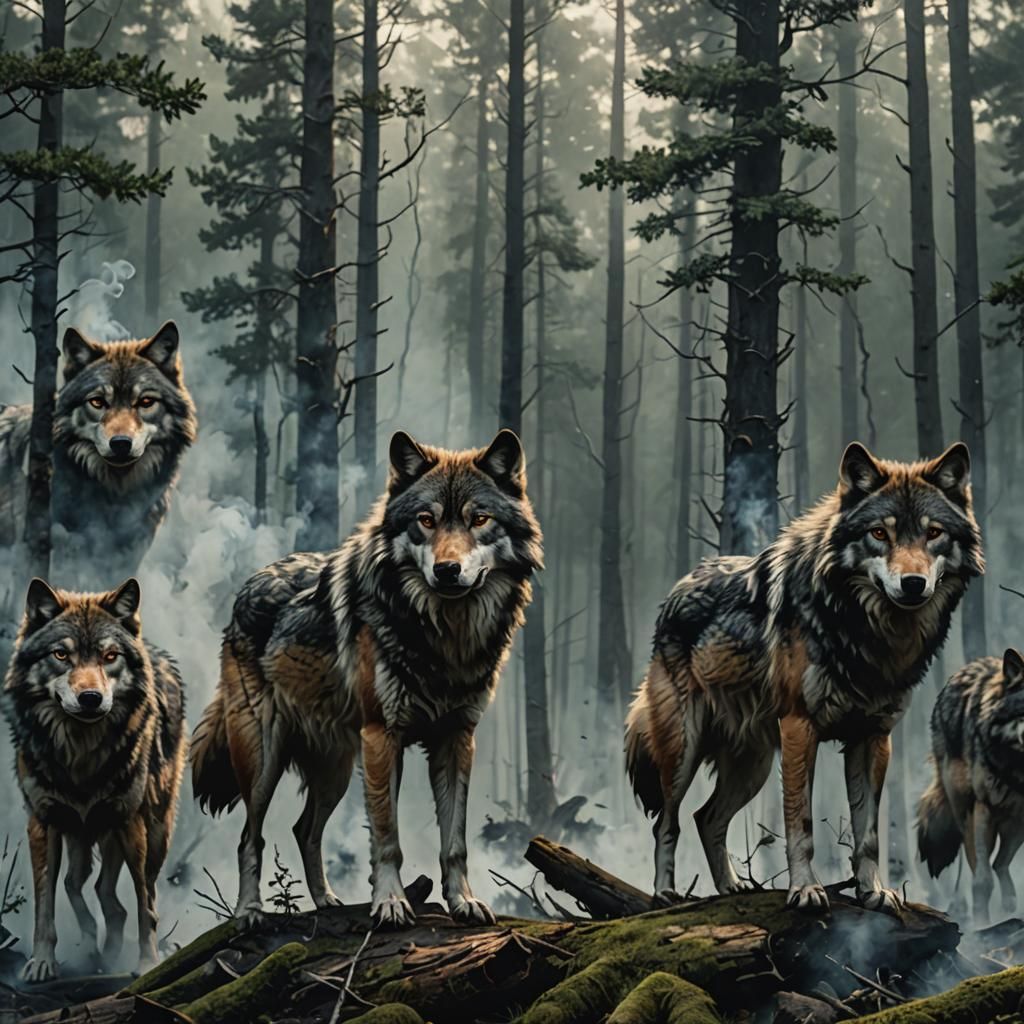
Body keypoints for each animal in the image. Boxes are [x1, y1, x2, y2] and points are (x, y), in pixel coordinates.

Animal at [2, 578, 186, 979]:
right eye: (60, 655)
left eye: (110, 656)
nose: (90, 698)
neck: (81, 755)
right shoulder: (43, 822)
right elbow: (44, 904)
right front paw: (42, 962)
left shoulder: (130, 821)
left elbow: (144, 905)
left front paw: (147, 963)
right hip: (81, 833)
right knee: (85, 886)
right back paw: (93, 947)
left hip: (153, 830)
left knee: (137, 893)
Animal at [191, 429, 542, 928]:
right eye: (426, 520)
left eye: (479, 519)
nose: (447, 570)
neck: (444, 637)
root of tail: (249, 585)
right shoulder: (382, 736)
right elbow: (387, 836)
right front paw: (391, 903)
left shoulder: (457, 738)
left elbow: (454, 840)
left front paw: (463, 901)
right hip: (264, 761)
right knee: (250, 837)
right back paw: (249, 912)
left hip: (336, 768)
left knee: (303, 829)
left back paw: (327, 903)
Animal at [626, 442, 982, 913]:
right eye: (879, 534)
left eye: (933, 533)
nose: (912, 583)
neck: (866, 632)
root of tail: (680, 586)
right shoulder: (800, 727)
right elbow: (801, 824)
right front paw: (806, 890)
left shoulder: (873, 737)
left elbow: (868, 833)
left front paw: (873, 891)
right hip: (683, 750)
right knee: (667, 821)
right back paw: (665, 893)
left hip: (753, 766)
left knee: (707, 818)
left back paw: (732, 887)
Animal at [917, 649, 1024, 926]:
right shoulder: (984, 808)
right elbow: (981, 880)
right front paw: (981, 926)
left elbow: (996, 867)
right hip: (965, 813)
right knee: (980, 866)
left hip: (1013, 825)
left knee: (1000, 864)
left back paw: (1009, 902)